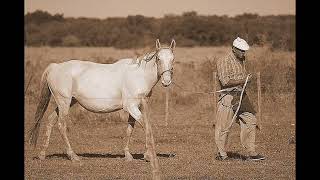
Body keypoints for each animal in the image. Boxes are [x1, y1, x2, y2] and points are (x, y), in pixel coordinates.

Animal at [28, 39, 175, 170]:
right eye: (158, 59)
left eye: (172, 59)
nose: (166, 81)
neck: (139, 76)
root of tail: (55, 67)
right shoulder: (131, 107)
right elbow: (146, 126)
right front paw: (148, 155)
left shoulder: (137, 107)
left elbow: (130, 129)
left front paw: (128, 155)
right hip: (64, 103)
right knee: (61, 125)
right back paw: (73, 156)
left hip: (67, 103)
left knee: (50, 120)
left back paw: (42, 154)